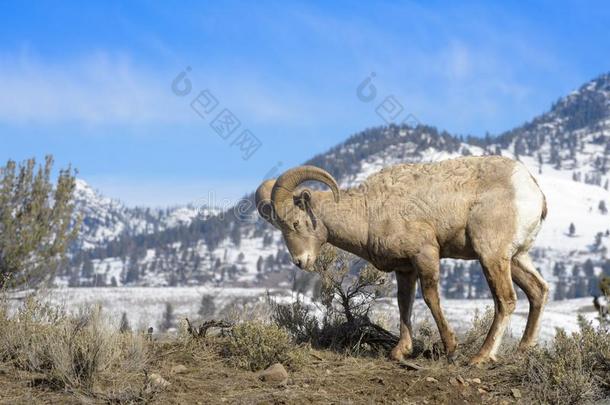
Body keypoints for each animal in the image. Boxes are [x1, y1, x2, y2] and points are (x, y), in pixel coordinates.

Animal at [254, 155, 548, 362]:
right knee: (538, 291)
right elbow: (403, 304)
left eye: (295, 222)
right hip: (516, 258)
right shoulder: (405, 269)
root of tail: (533, 190)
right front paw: (400, 352)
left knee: (506, 300)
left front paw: (450, 348)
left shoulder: (425, 255)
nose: (300, 262)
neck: (369, 212)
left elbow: (430, 299)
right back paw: (522, 350)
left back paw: (480, 358)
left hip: (491, 256)